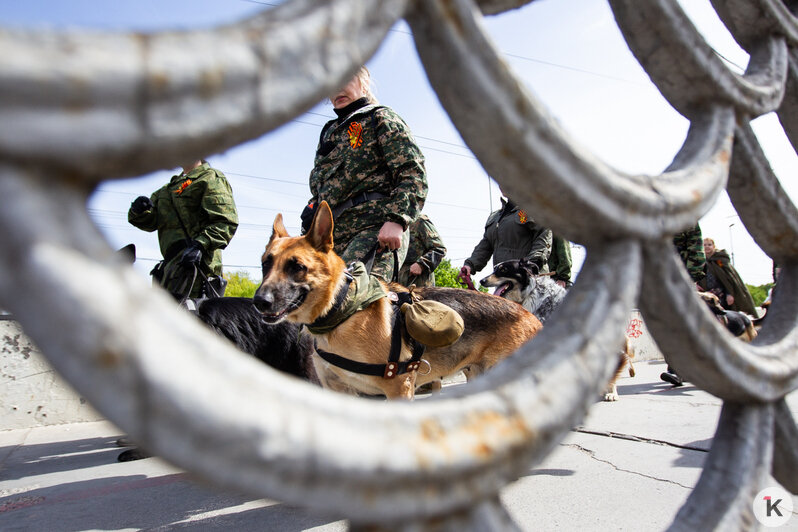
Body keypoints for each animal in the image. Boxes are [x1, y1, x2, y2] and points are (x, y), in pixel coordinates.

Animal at [256, 203, 544, 400]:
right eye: (265, 264)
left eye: (298, 267)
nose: (260, 301)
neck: (343, 308)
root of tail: (531, 317)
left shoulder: (398, 388)